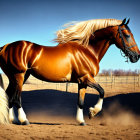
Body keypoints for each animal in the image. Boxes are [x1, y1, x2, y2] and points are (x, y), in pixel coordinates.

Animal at [0, 18, 139, 125]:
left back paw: (11, 120)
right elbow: (102, 91)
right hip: (19, 76)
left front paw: (81, 121)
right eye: (127, 35)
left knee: (9, 96)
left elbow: (80, 102)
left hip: (18, 77)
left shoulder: (82, 82)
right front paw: (92, 112)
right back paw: (24, 120)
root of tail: (5, 47)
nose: (136, 56)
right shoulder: (86, 78)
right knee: (16, 98)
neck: (87, 50)